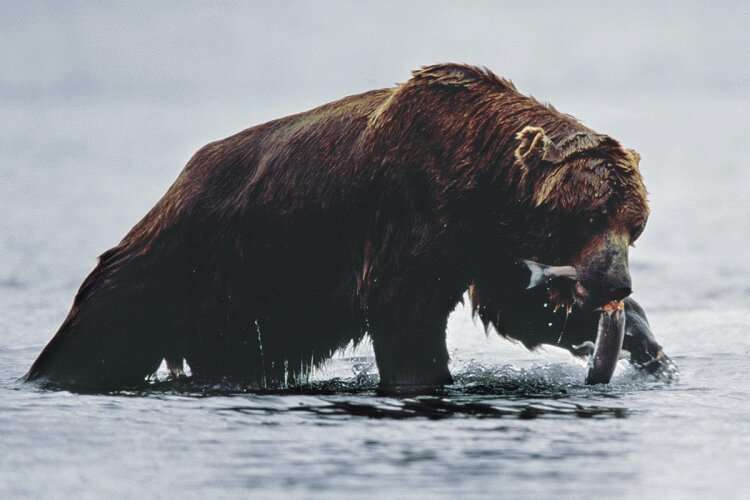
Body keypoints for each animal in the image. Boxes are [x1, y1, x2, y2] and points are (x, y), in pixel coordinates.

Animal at [26, 63, 674, 391]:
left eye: (635, 225)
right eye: (588, 215)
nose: (618, 285)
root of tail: (169, 193)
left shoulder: (486, 246)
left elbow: (518, 308)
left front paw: (645, 344)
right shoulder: (410, 216)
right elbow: (405, 314)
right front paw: (425, 376)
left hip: (237, 309)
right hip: (175, 265)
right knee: (99, 335)